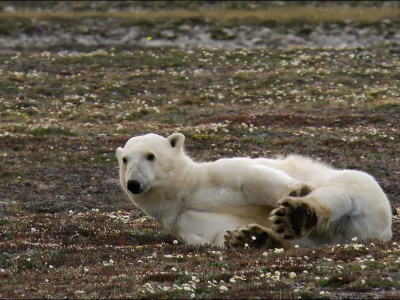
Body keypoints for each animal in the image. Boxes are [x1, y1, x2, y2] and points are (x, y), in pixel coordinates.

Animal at [115, 133, 390, 248]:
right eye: (125, 160)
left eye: (151, 155)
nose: (134, 183)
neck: (183, 192)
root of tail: (379, 231)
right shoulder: (183, 220)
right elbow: (217, 232)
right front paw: (244, 236)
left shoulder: (213, 175)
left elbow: (249, 179)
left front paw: (295, 191)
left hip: (360, 186)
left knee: (338, 193)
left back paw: (296, 214)